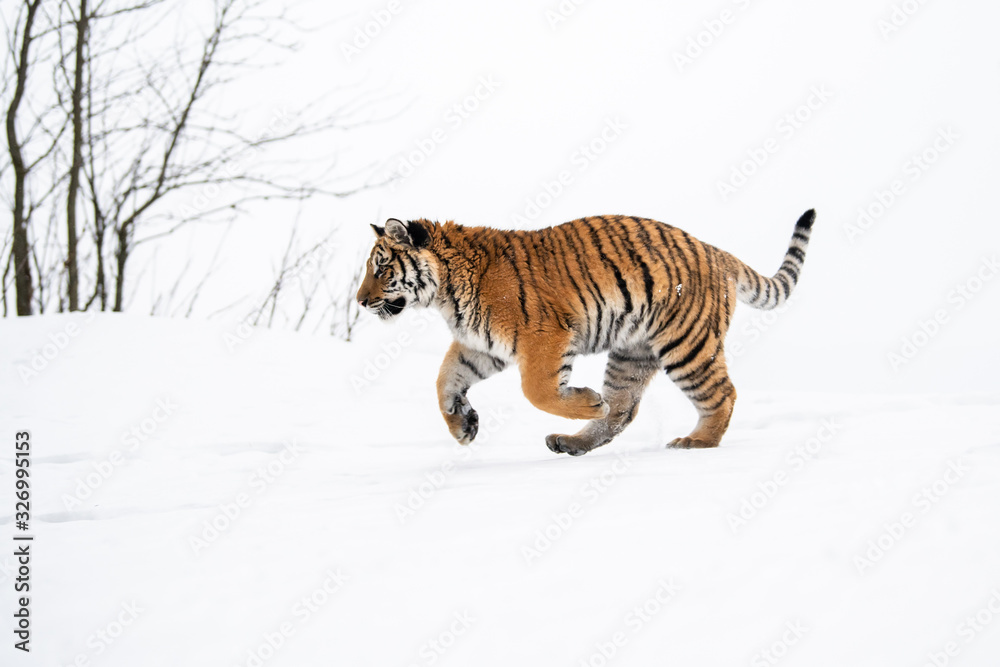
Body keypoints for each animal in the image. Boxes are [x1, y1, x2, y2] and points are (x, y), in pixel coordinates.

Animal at [356, 210, 815, 456]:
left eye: (381, 267)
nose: (359, 301)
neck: (446, 292)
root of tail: (715, 251)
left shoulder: (544, 337)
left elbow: (537, 390)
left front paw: (586, 401)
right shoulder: (482, 345)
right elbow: (444, 381)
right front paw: (463, 427)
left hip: (686, 344)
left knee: (722, 394)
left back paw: (696, 442)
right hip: (633, 352)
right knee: (623, 409)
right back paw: (571, 441)